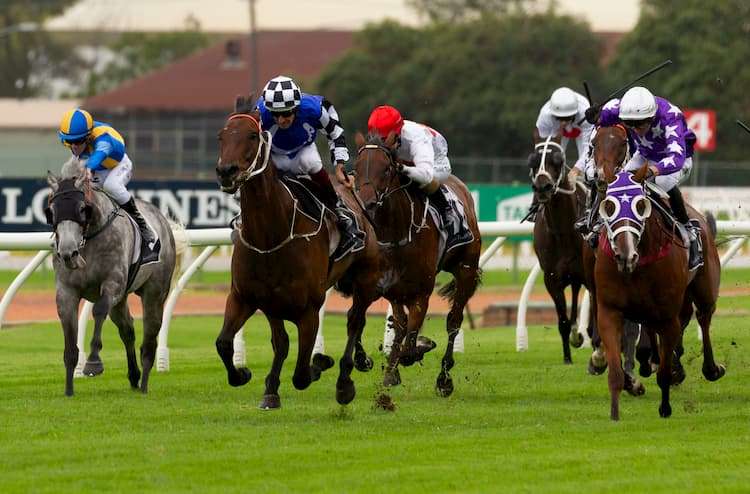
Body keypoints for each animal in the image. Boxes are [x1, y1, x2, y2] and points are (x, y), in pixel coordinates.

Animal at [46, 157, 180, 396]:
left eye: (82, 208)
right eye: (51, 210)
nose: (68, 253)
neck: (89, 239)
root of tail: (162, 219)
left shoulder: (113, 283)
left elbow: (99, 310)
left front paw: (93, 363)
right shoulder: (66, 291)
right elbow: (69, 333)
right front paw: (69, 388)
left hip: (155, 291)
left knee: (150, 336)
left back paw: (144, 384)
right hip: (122, 300)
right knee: (127, 329)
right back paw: (134, 376)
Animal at [214, 97, 382, 409]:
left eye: (252, 136)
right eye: (221, 136)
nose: (226, 171)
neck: (271, 236)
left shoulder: (309, 310)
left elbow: (303, 372)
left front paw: (321, 362)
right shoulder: (249, 297)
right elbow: (228, 343)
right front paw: (250, 378)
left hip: (366, 278)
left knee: (355, 321)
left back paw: (345, 380)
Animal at [353, 131, 482, 397]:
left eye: (386, 169)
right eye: (356, 168)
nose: (367, 204)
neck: (398, 231)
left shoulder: (422, 292)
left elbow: (411, 341)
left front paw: (419, 347)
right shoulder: (390, 288)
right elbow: (400, 327)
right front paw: (388, 370)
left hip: (466, 270)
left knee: (454, 321)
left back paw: (444, 378)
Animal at [528, 138, 589, 363]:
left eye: (557, 160)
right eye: (533, 161)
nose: (542, 187)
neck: (564, 230)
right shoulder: (552, 278)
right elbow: (562, 320)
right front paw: (567, 358)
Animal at [591, 125, 725, 420]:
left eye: (641, 205)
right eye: (608, 206)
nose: (625, 254)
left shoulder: (667, 314)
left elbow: (664, 369)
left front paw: (665, 408)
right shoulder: (609, 310)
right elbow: (616, 373)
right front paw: (615, 414)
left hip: (704, 289)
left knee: (704, 318)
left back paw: (710, 368)